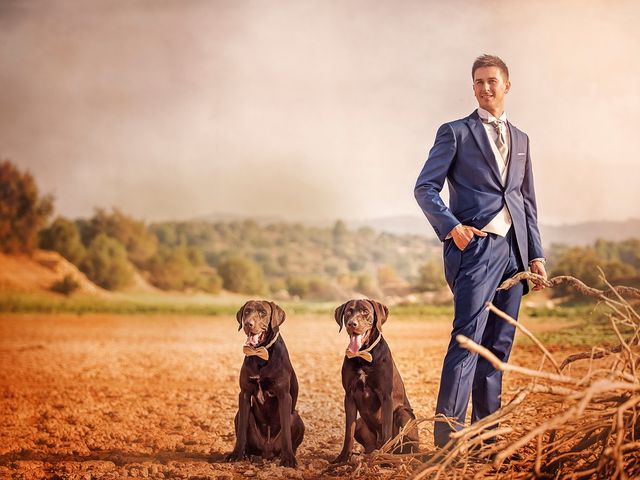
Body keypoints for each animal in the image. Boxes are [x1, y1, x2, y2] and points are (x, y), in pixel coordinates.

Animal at [226, 302, 304, 466]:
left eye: (263, 313)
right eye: (247, 312)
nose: (248, 324)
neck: (261, 354)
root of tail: (267, 451)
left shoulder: (283, 395)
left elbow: (286, 433)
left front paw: (288, 459)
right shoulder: (244, 394)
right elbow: (241, 432)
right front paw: (236, 454)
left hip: (296, 417)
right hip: (239, 414)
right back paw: (247, 455)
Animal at [332, 298, 418, 464]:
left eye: (365, 311)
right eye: (348, 312)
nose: (352, 324)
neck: (363, 355)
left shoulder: (386, 396)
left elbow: (386, 432)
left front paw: (382, 458)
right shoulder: (349, 396)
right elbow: (348, 433)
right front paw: (343, 458)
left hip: (403, 414)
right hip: (361, 423)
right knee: (368, 443)